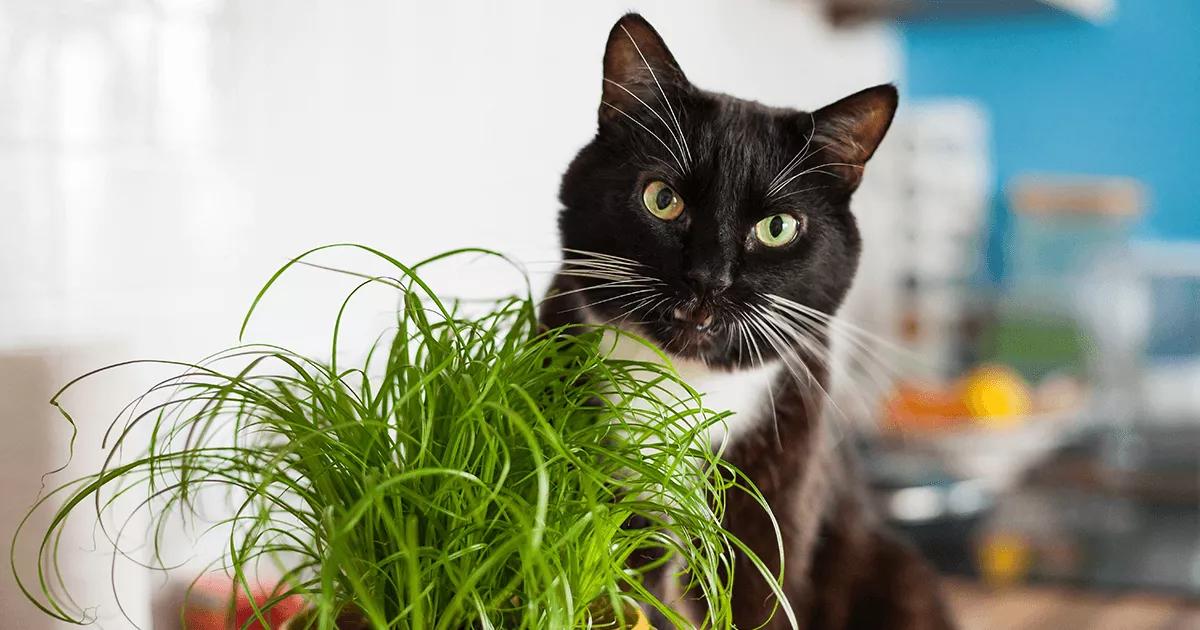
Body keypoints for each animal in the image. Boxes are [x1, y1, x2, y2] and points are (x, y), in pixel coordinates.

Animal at [544, 11, 955, 628]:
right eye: (662, 199)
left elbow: (759, 600)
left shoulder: (780, 501)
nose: (708, 279)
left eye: (777, 228)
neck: (684, 384)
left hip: (898, 574)